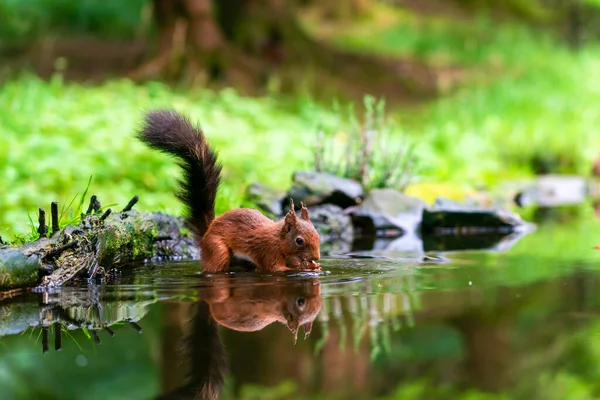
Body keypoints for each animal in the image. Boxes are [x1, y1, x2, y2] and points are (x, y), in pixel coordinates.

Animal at [138, 109, 322, 272]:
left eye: (318, 235)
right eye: (299, 240)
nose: (317, 257)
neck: (279, 240)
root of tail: (206, 233)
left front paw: (313, 266)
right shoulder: (268, 251)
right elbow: (276, 269)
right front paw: (307, 268)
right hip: (218, 249)